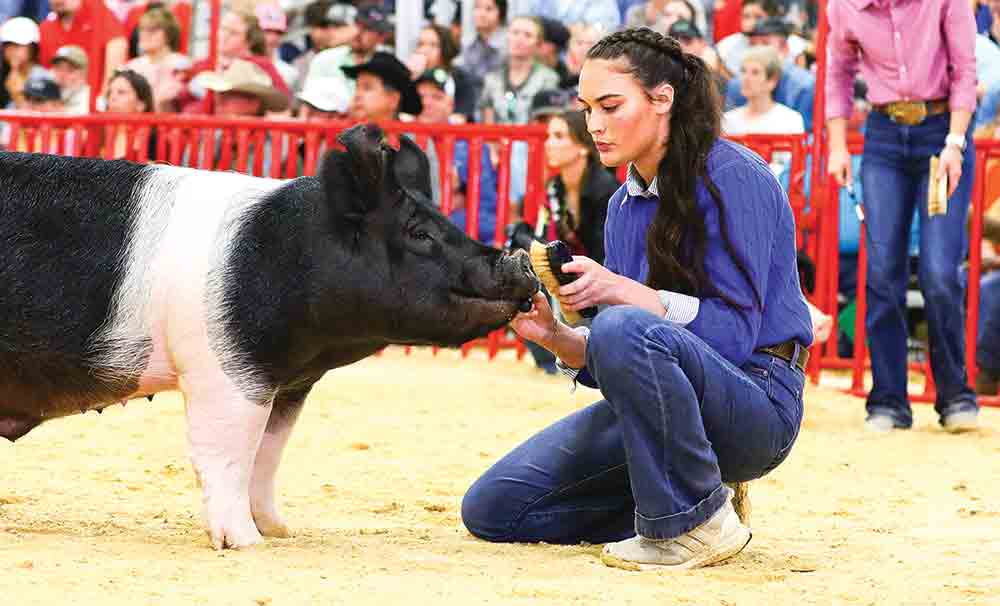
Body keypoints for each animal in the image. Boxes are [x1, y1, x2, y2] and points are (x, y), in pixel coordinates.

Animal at [0, 123, 540, 552]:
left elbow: (267, 456)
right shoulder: (224, 371)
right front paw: (246, 543)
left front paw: (280, 530)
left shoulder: (287, 382)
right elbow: (226, 454)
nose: (519, 259)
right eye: (420, 232)